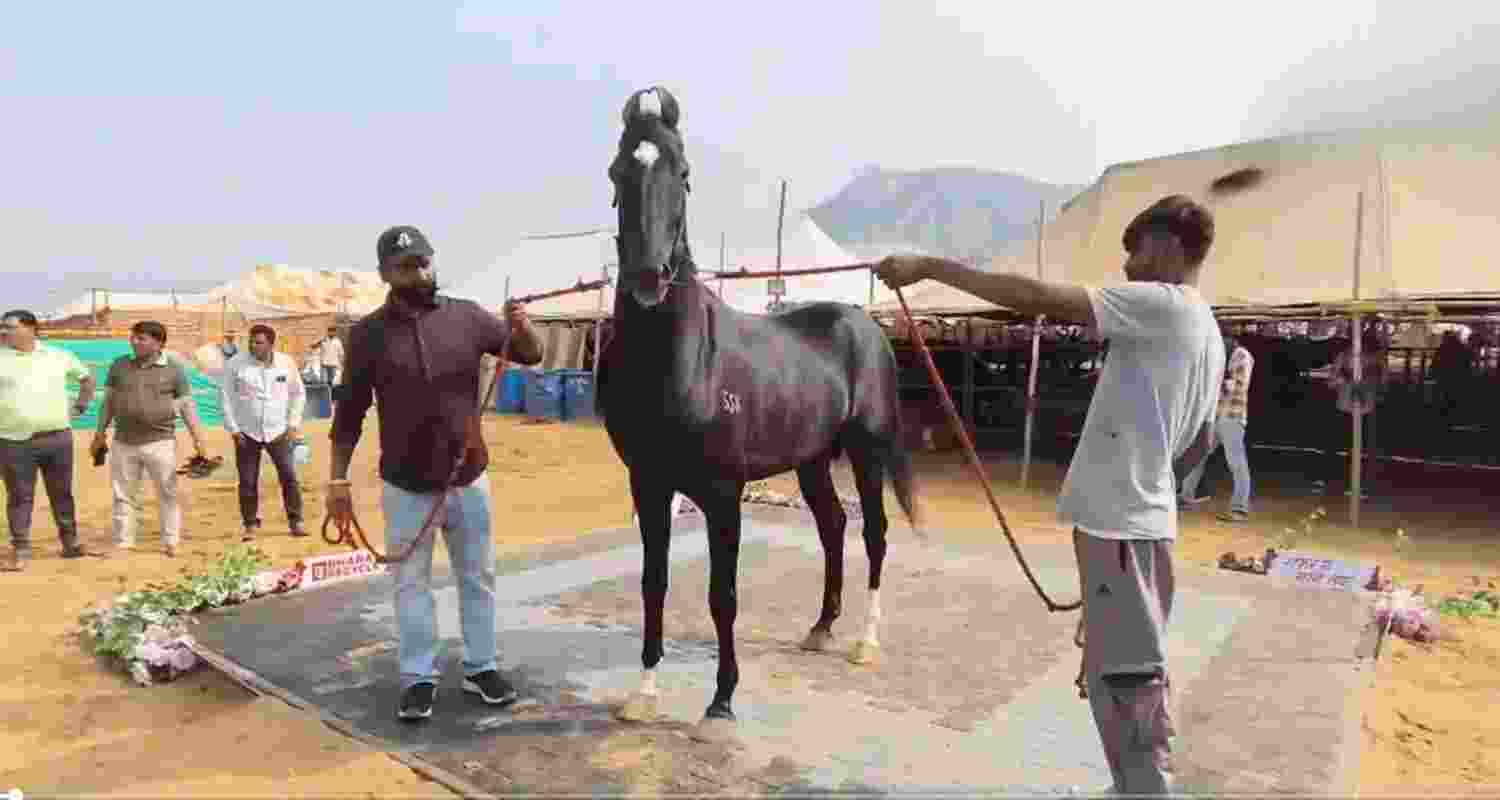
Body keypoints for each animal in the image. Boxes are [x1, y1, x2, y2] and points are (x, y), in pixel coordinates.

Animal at [594, 86, 924, 742]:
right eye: (619, 172)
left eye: (684, 173)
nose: (648, 276)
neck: (685, 363)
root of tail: (866, 325)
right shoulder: (649, 483)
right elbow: (653, 583)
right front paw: (643, 694)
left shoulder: (723, 492)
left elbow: (723, 595)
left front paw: (720, 702)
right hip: (813, 461)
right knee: (833, 527)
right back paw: (821, 629)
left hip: (867, 451)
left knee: (873, 533)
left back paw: (865, 643)